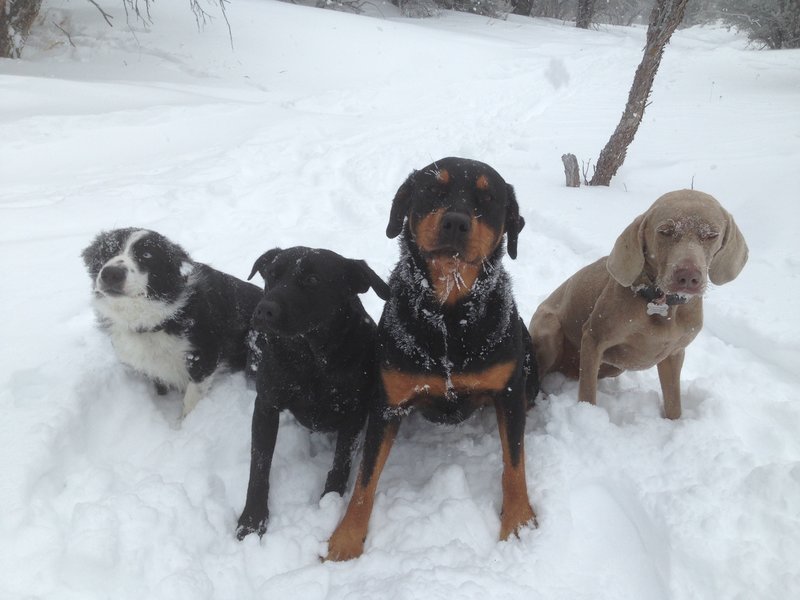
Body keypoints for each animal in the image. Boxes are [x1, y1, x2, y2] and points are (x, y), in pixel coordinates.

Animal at [85, 229, 266, 418]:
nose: (111, 274)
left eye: (147, 254)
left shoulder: (204, 357)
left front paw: (183, 424)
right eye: (109, 251)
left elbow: (190, 401)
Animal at [236, 246, 390, 540]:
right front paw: (252, 519)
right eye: (271, 274)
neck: (310, 360)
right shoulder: (266, 407)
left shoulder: (353, 415)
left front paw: (330, 503)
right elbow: (258, 467)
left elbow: (341, 464)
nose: (264, 309)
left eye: (312, 280)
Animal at [328, 157, 540, 560]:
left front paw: (519, 520)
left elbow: (515, 463)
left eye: (488, 197)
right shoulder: (387, 402)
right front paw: (346, 538)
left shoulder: (508, 391)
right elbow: (365, 479)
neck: (449, 317)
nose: (455, 221)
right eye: (433, 189)